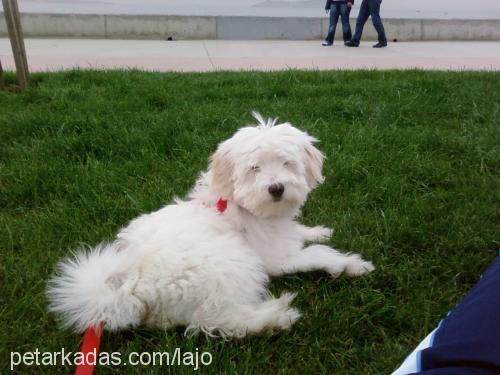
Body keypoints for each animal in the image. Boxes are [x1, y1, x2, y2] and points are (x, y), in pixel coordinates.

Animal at [47, 113, 376, 340]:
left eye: (286, 163)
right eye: (254, 168)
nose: (277, 188)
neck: (242, 206)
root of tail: (133, 289)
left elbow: (300, 233)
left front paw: (317, 230)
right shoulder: (274, 259)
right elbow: (316, 254)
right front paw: (350, 264)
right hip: (232, 263)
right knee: (216, 320)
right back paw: (275, 318)